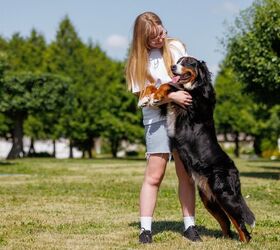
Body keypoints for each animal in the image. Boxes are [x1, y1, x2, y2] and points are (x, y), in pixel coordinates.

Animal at [138, 57, 256, 242]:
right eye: (178, 61)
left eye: (188, 62)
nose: (172, 66)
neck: (197, 86)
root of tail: (234, 171)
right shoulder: (170, 106)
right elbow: (158, 85)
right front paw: (146, 98)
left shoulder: (190, 102)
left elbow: (170, 85)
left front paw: (155, 96)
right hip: (209, 199)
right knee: (226, 221)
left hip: (225, 194)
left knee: (241, 223)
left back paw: (244, 242)